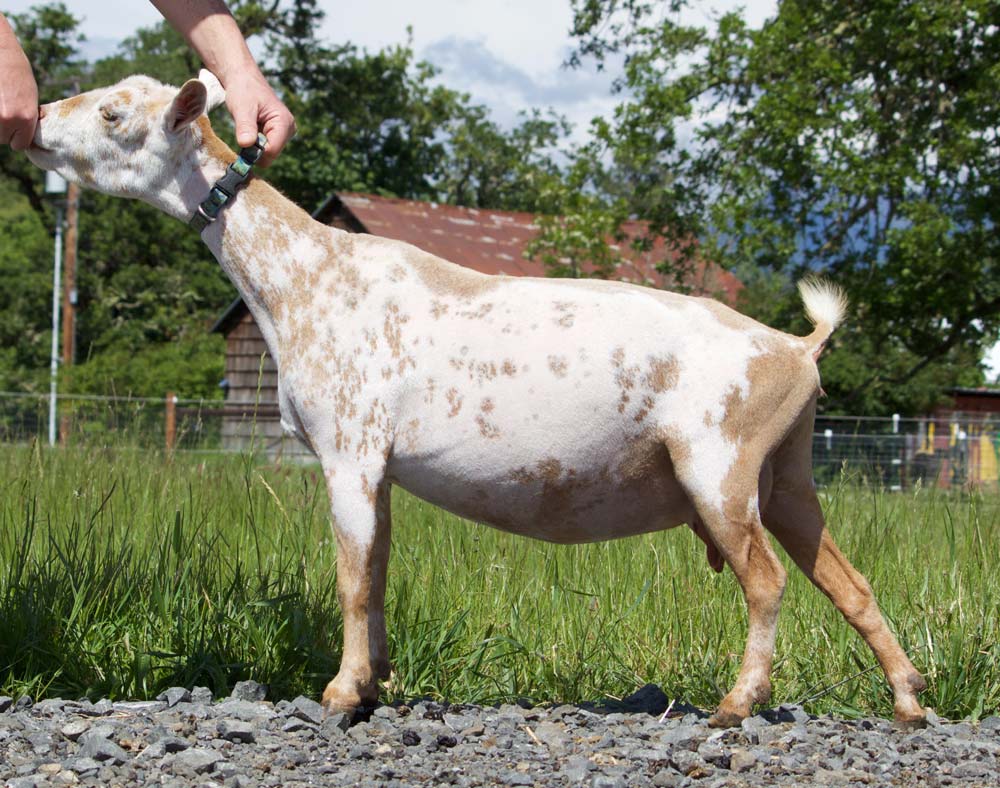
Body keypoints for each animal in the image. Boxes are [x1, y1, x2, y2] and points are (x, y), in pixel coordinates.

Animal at [25, 74, 928, 728]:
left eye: (112, 112)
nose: (34, 121)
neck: (305, 280)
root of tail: (797, 348)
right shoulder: (379, 467)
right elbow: (378, 567)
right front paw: (375, 682)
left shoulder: (349, 448)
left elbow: (351, 576)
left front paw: (340, 693)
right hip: (790, 472)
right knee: (848, 581)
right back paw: (909, 699)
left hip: (721, 461)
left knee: (767, 581)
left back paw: (739, 703)